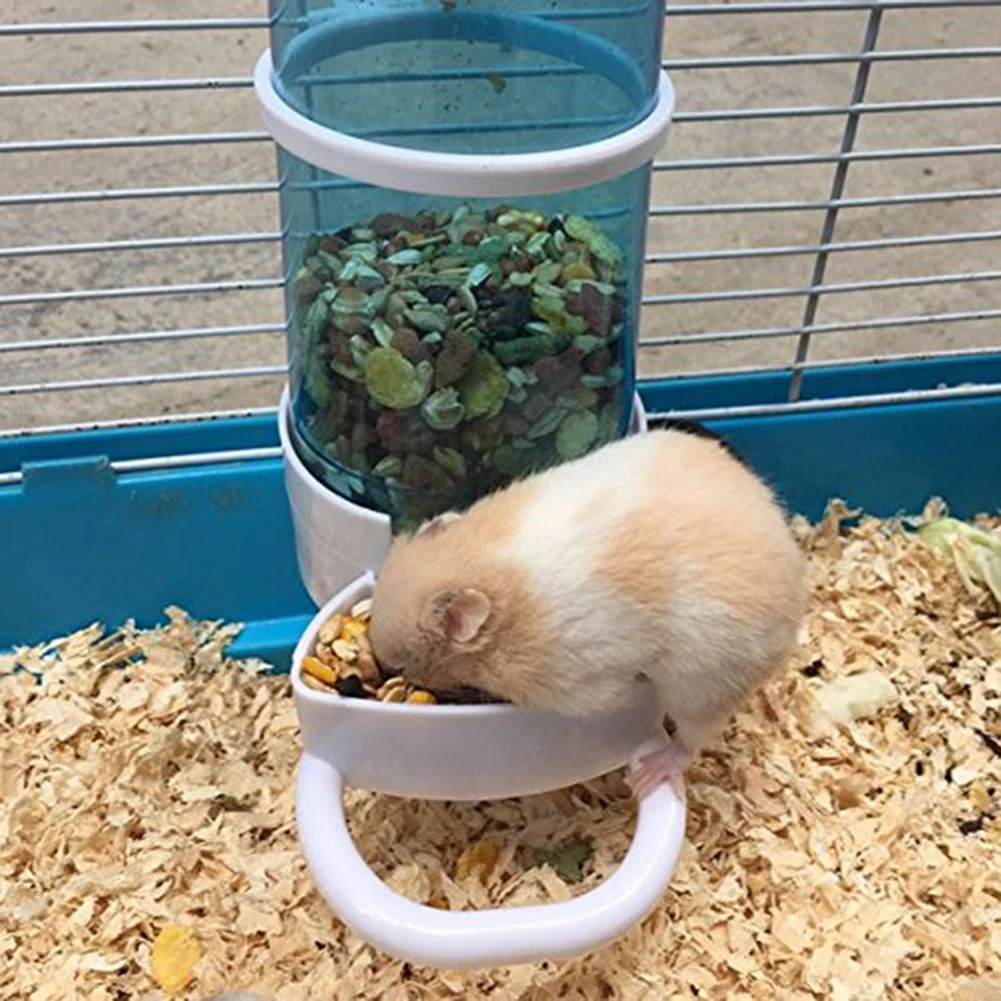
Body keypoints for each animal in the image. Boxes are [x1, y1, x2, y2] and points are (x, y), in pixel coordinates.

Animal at [368, 427, 807, 797]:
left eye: (403, 665)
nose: (384, 668)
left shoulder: (576, 683)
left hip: (707, 684)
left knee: (691, 738)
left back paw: (651, 773)